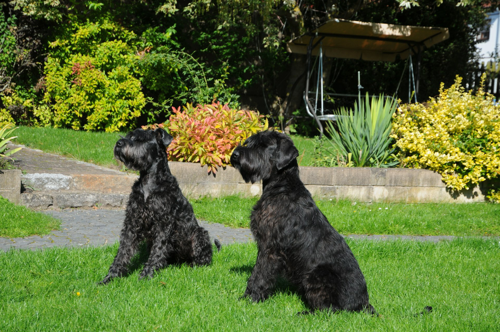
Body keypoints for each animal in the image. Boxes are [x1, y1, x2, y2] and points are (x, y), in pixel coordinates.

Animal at [98, 128, 220, 284]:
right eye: (128, 135)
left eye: (141, 139)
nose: (119, 143)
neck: (148, 183)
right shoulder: (132, 221)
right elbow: (123, 250)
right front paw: (111, 276)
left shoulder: (163, 224)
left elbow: (157, 250)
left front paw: (146, 275)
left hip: (200, 234)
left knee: (202, 258)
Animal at [230, 130, 376, 314]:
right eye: (249, 143)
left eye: (264, 145)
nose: (235, 154)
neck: (282, 187)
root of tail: (363, 304)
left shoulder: (270, 248)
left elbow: (260, 274)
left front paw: (251, 298)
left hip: (317, 275)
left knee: (329, 310)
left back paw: (304, 313)